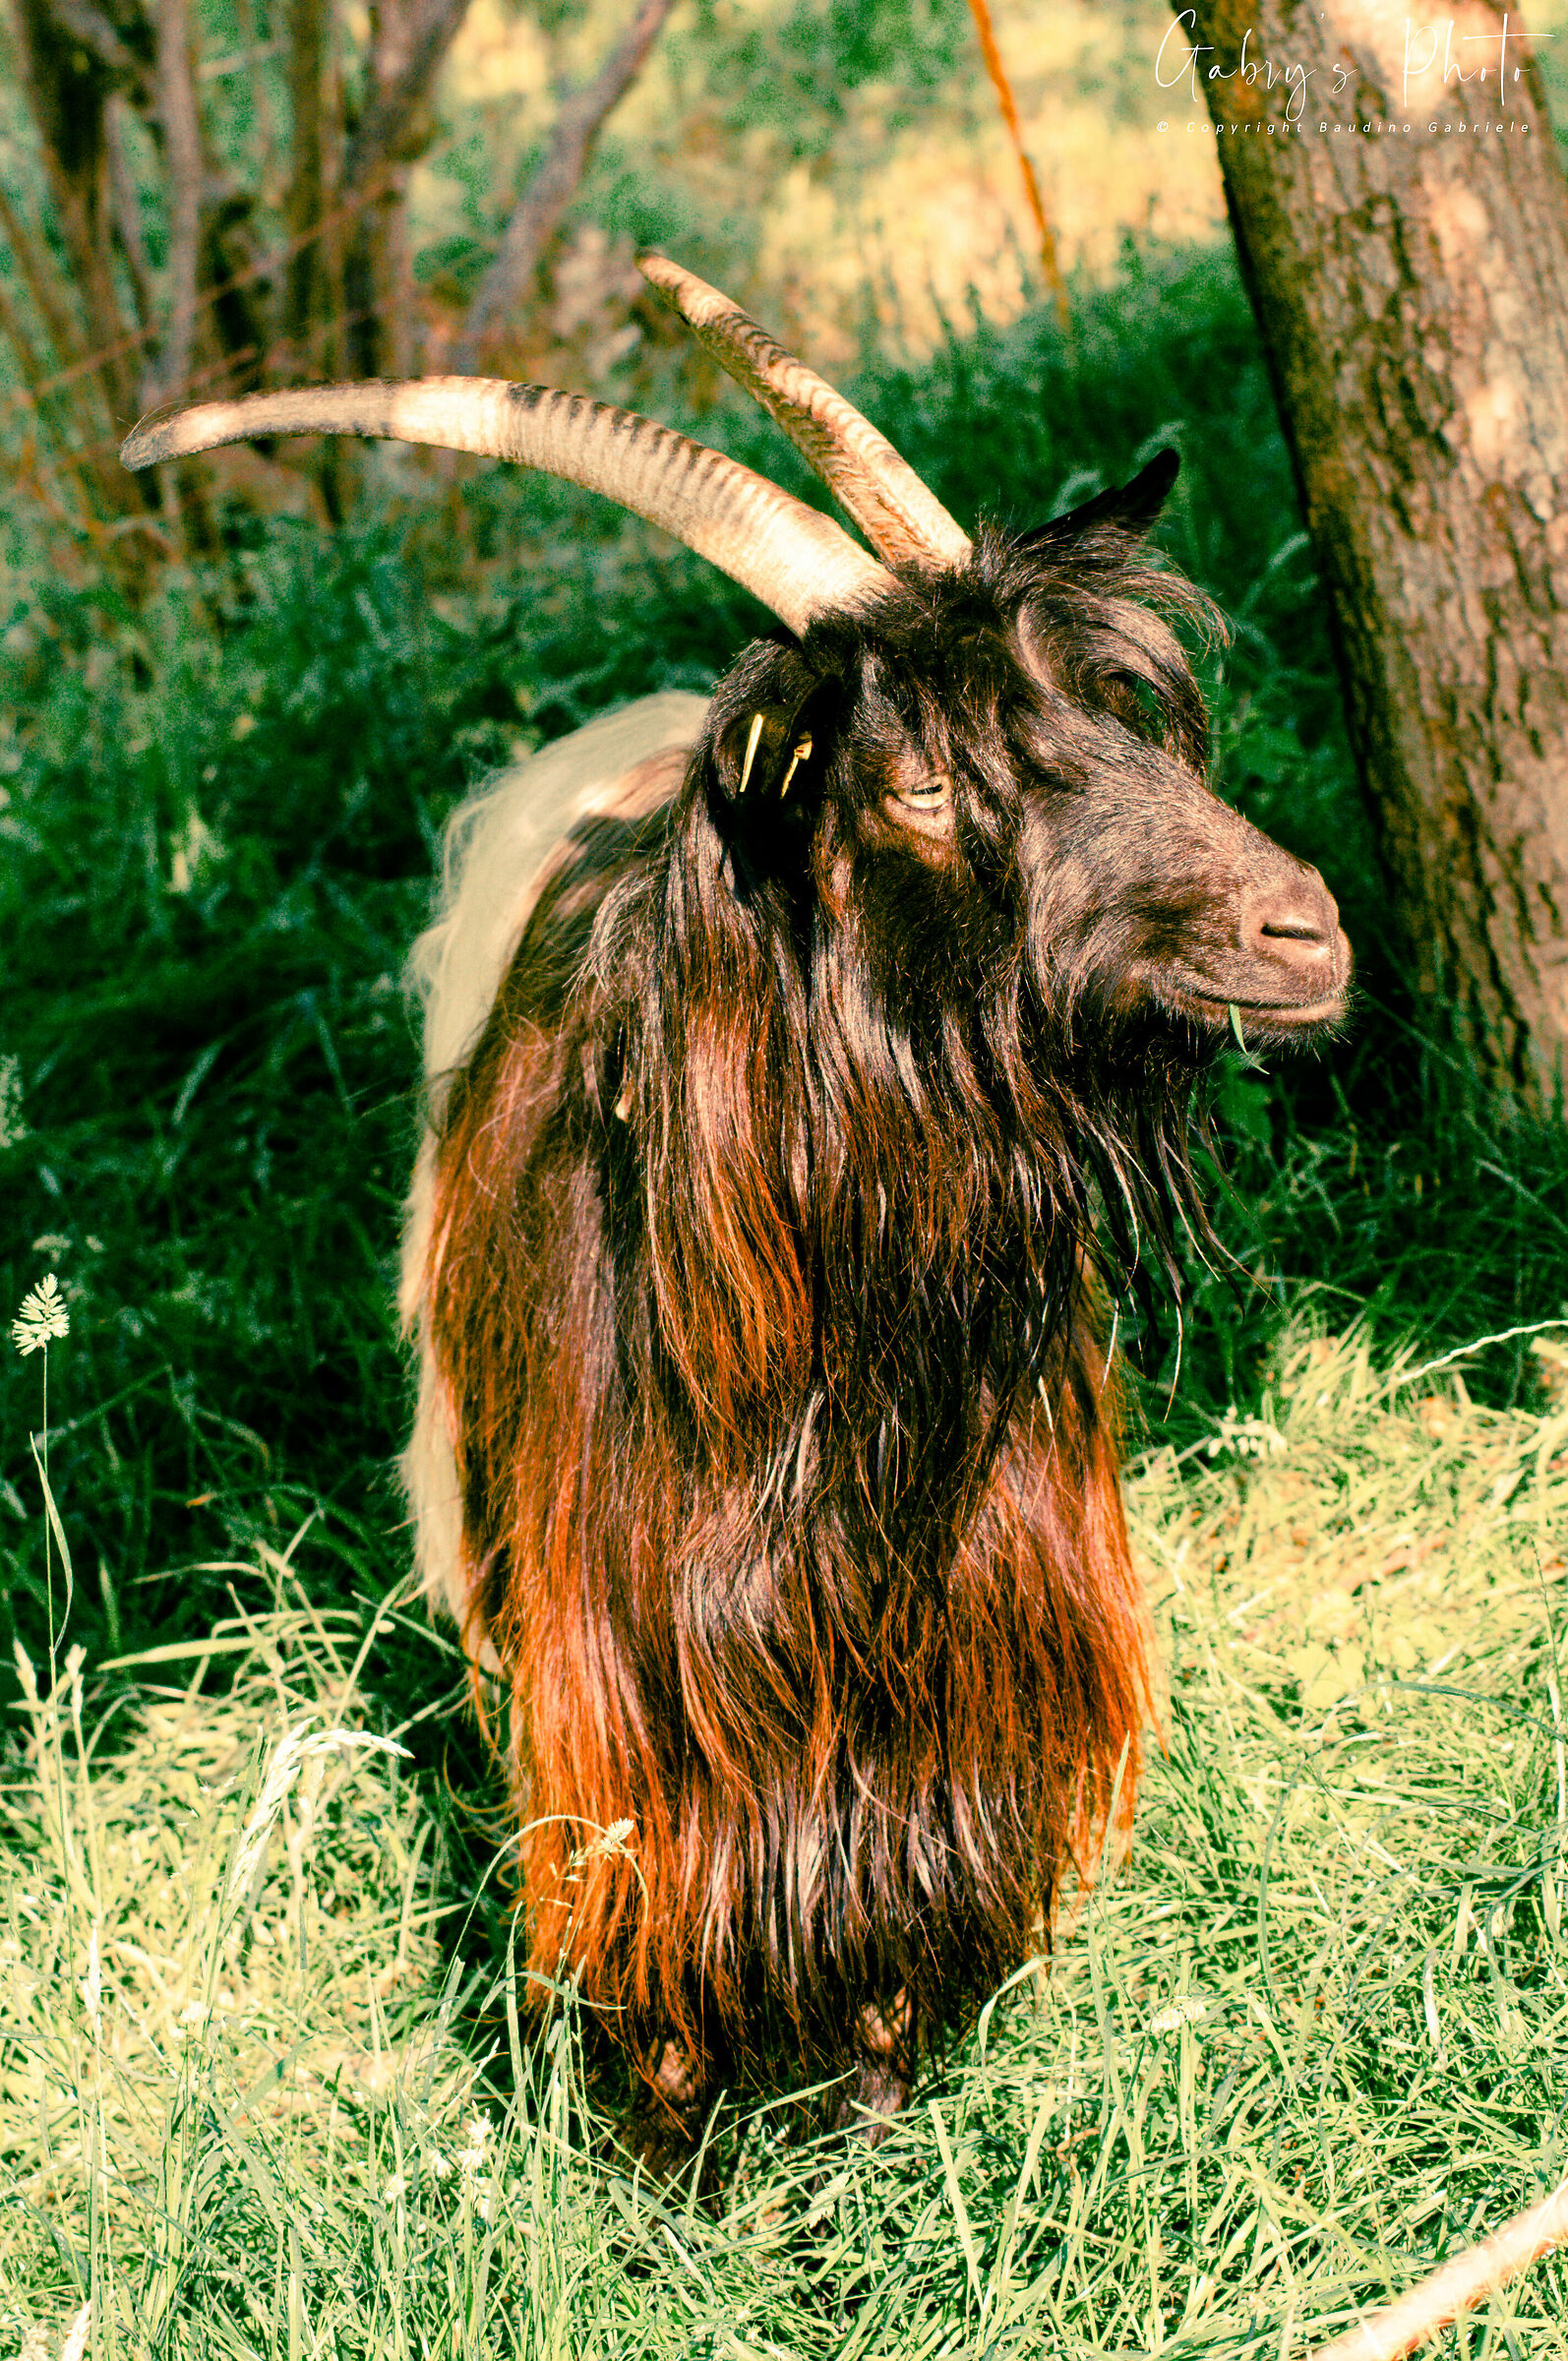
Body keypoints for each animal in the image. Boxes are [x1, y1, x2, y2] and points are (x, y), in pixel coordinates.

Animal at [123, 256, 1352, 2142]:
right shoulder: (627, 1685)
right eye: (916, 780)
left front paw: (881, 2104)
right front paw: (679, 2153)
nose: (1306, 932)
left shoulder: (972, 1641)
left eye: (1116, 709)